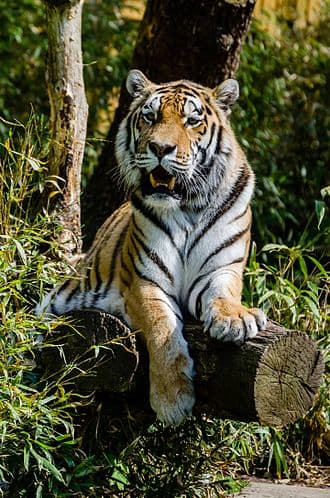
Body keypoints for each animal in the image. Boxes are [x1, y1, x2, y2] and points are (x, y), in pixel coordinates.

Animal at [38, 70, 266, 426]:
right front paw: (172, 400)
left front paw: (235, 321)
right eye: (150, 116)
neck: (188, 206)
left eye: (192, 120)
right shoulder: (144, 281)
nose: (160, 148)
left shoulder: (220, 269)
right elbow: (162, 330)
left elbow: (223, 295)